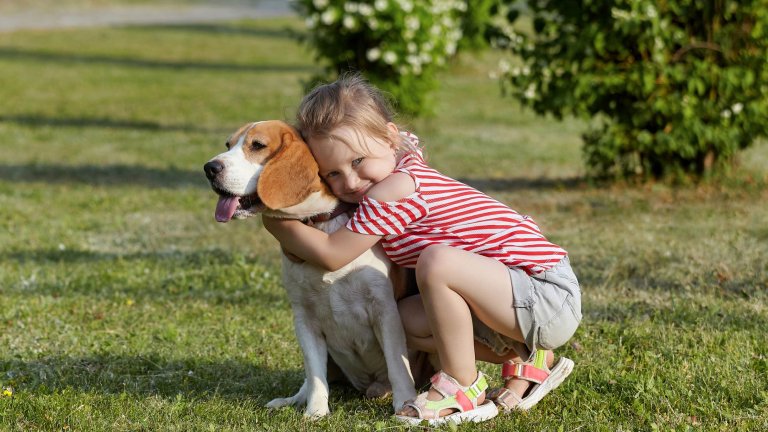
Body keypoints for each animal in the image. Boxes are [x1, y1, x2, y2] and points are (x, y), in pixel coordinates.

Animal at [202, 120, 414, 416]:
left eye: (257, 145)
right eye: (228, 144)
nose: (210, 168)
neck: (319, 224)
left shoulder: (385, 311)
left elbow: (397, 364)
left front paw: (405, 403)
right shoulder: (304, 317)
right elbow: (315, 374)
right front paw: (315, 412)